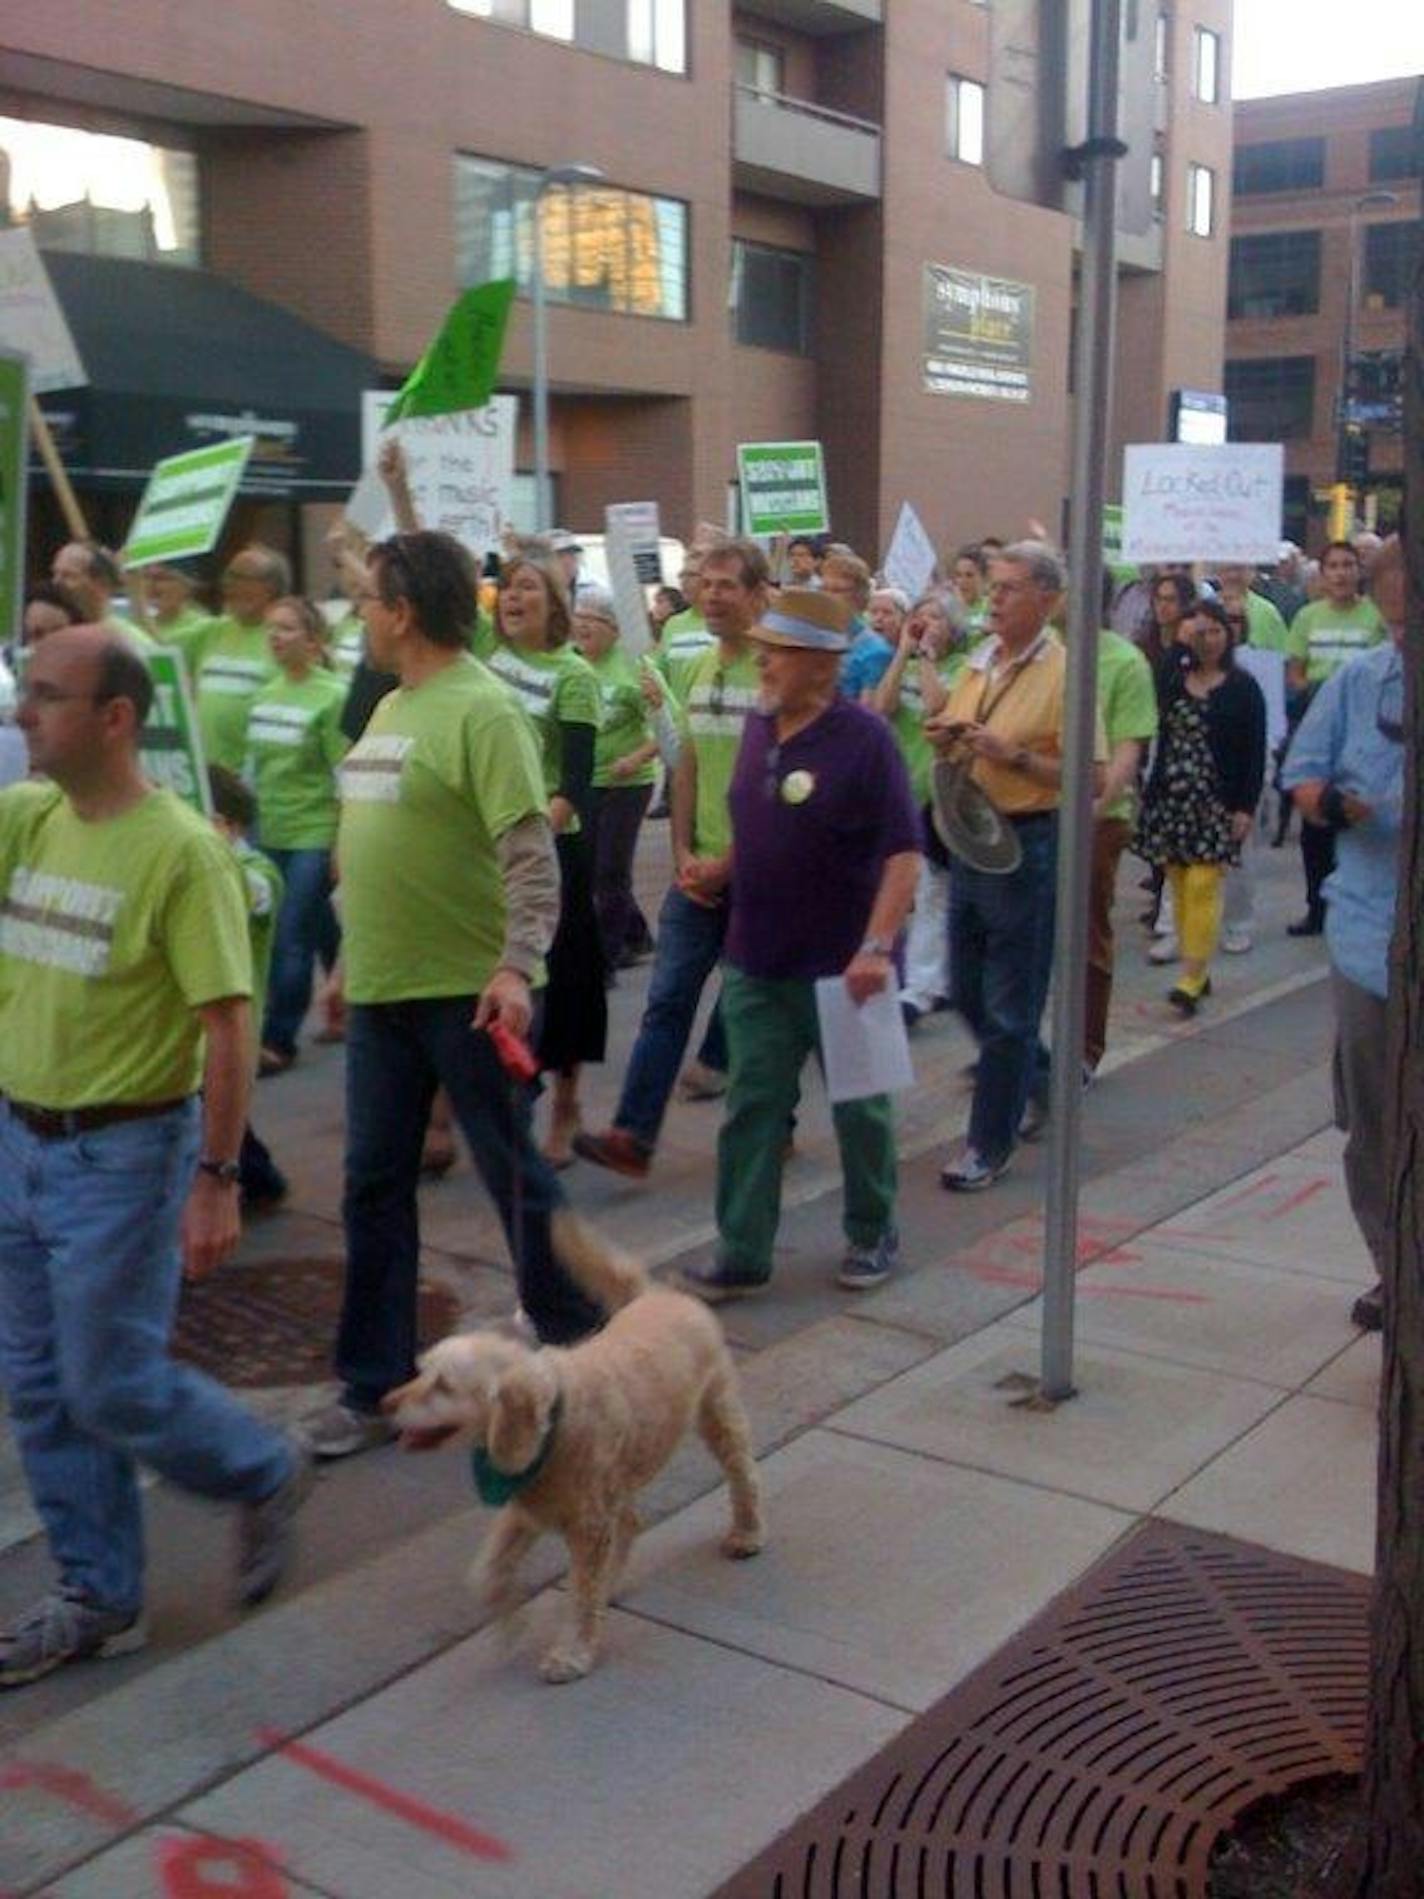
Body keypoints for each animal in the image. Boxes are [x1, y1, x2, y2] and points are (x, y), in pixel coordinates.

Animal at [385, 1207, 770, 1686]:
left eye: (444, 1386)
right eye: (421, 1372)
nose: (384, 1403)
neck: (553, 1422)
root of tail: (656, 1294)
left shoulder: (586, 1527)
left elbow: (582, 1595)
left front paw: (572, 1652)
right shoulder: (528, 1508)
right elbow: (485, 1572)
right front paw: (511, 1625)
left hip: (717, 1413)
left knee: (742, 1472)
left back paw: (747, 1532)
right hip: (619, 1478)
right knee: (632, 1521)